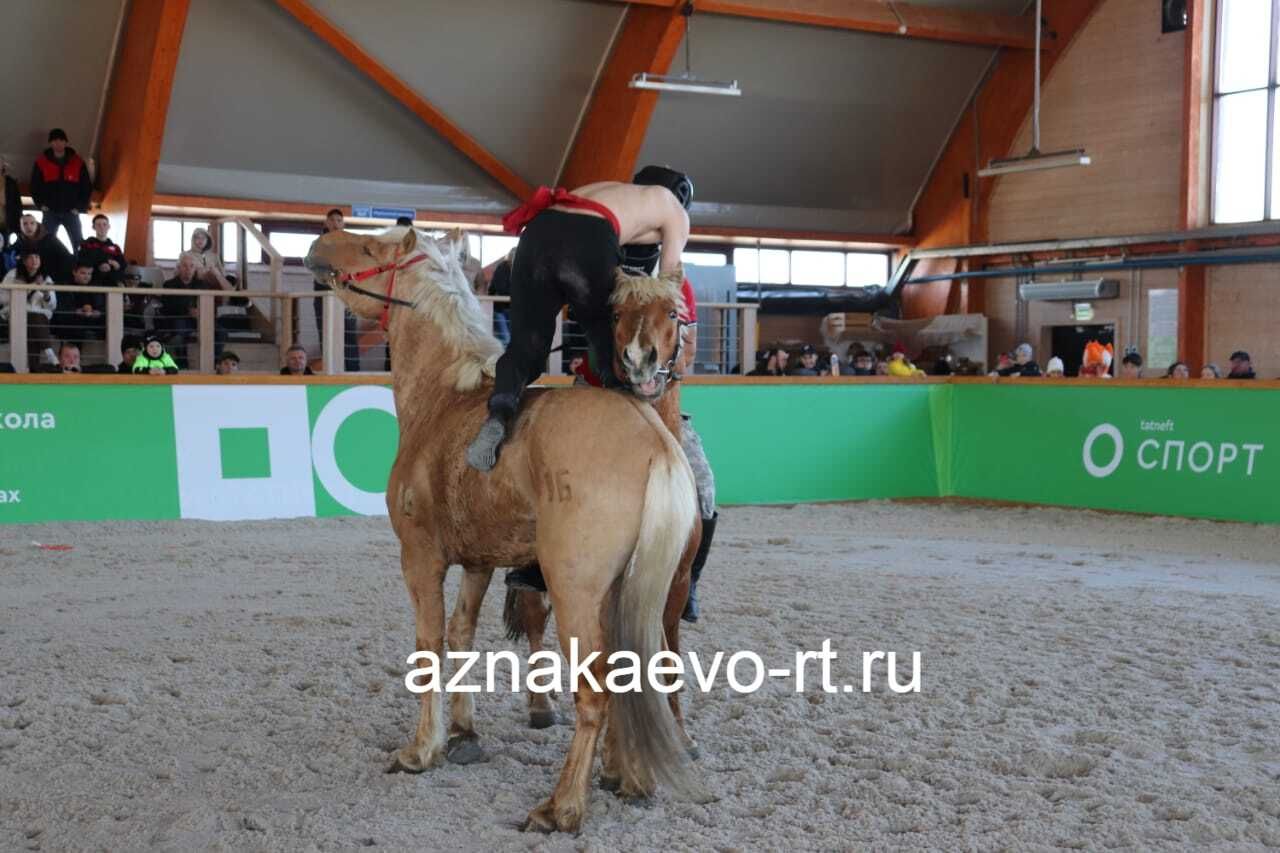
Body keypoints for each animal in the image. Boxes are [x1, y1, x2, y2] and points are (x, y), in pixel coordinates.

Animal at [307, 225, 711, 829]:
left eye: (373, 248)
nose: (324, 236)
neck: (446, 400)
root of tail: (654, 442)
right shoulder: (479, 562)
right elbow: (462, 635)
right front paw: (463, 732)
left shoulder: (420, 558)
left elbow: (429, 645)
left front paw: (421, 749)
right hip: (633, 591)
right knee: (633, 678)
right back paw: (626, 778)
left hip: (576, 593)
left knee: (596, 693)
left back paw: (563, 806)